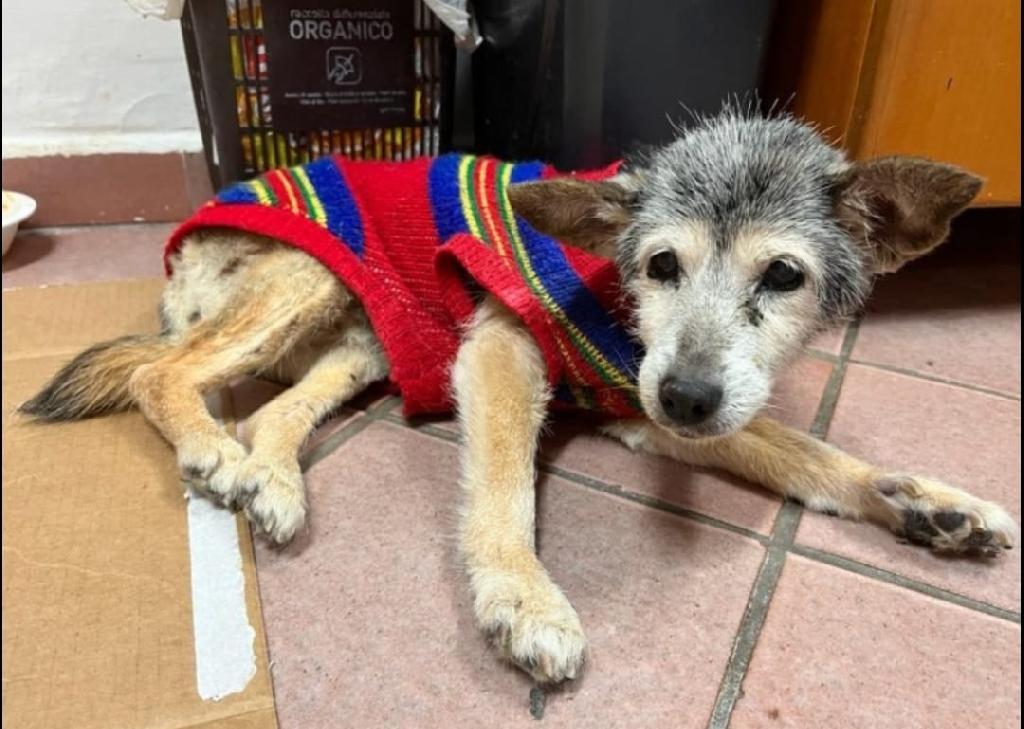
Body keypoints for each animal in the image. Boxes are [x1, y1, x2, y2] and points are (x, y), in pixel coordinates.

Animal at [19, 108, 1019, 683]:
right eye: (661, 263)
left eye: (784, 274)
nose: (688, 396)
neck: (616, 303)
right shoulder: (504, 347)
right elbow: (504, 492)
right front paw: (525, 599)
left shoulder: (641, 401)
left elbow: (803, 451)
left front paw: (926, 501)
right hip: (306, 274)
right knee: (160, 371)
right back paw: (211, 449)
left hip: (365, 337)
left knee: (271, 408)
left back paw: (273, 481)